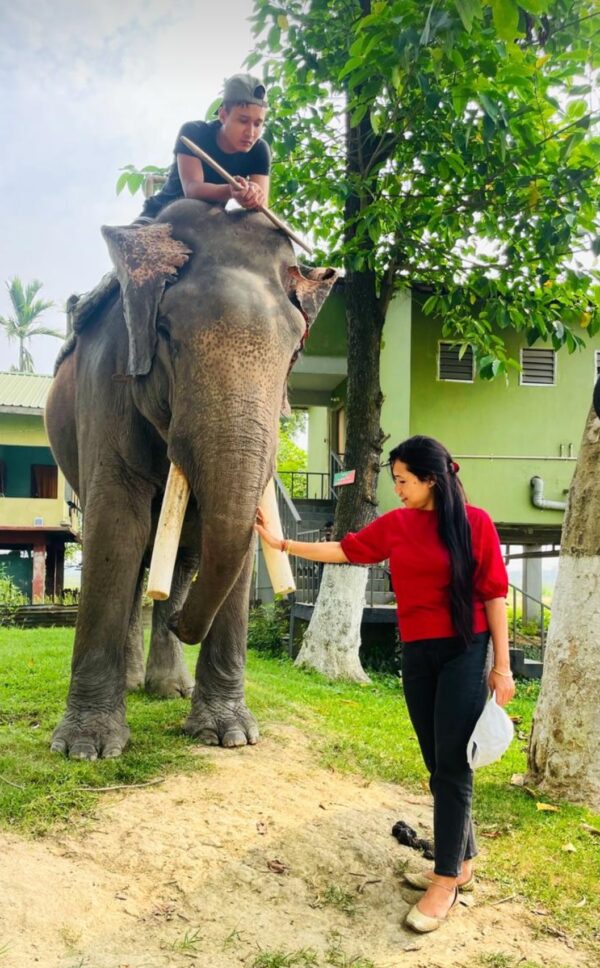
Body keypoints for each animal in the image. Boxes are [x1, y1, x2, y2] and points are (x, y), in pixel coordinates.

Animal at [45, 200, 338, 760]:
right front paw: (86, 748)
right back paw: (138, 677)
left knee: (182, 555)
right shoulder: (106, 380)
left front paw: (230, 736)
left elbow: (229, 542)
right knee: (134, 555)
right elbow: (116, 527)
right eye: (165, 334)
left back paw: (167, 687)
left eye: (294, 354)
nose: (184, 623)